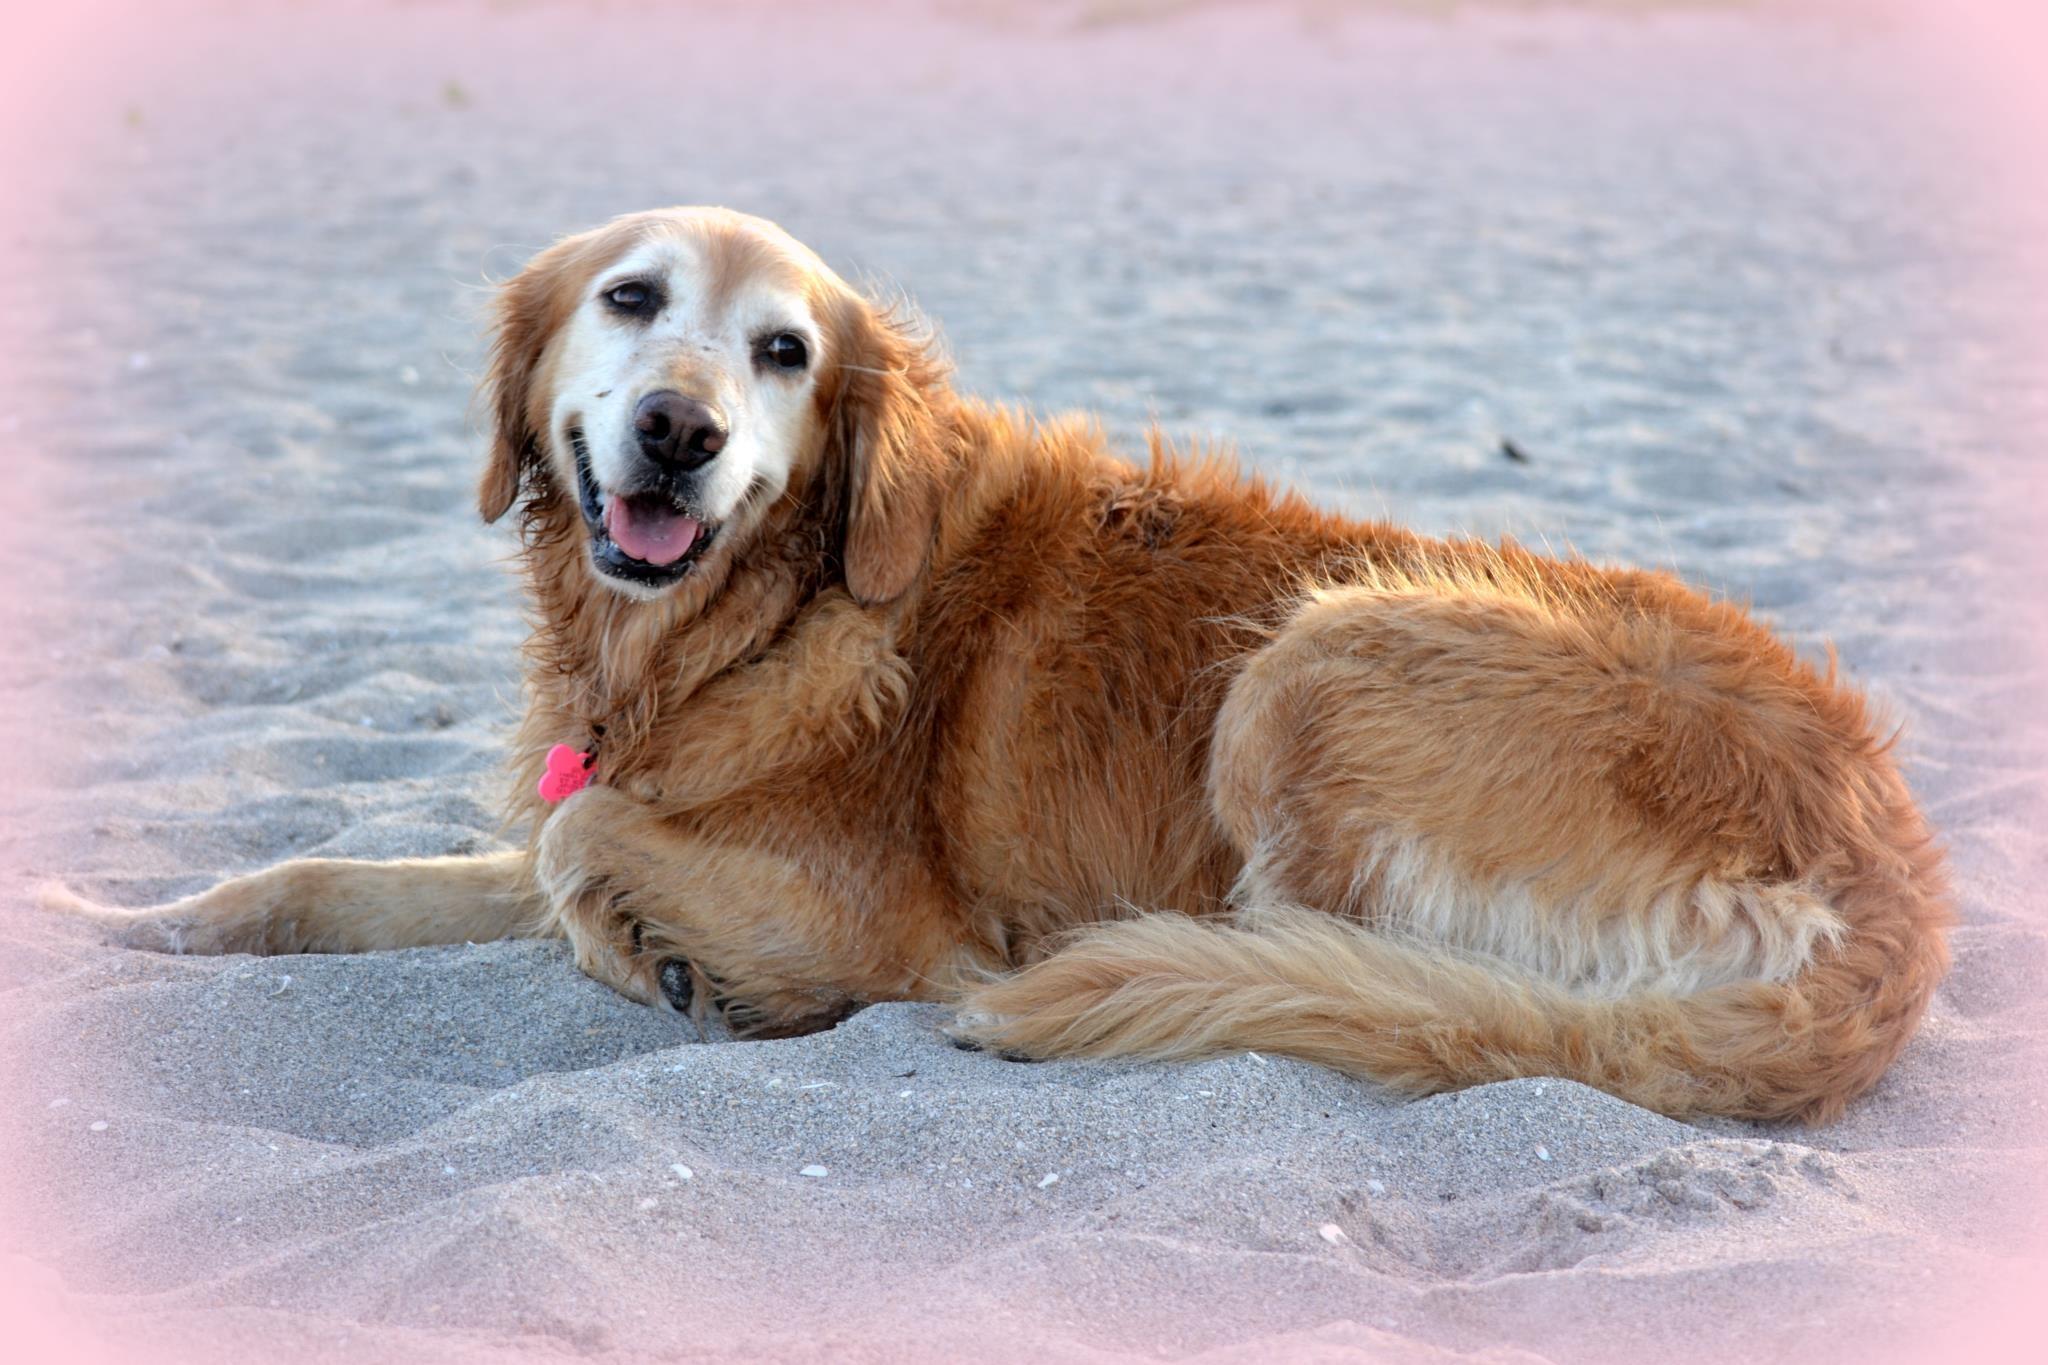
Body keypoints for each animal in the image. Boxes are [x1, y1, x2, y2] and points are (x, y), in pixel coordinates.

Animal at [44, 202, 1949, 1121]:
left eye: (786, 351)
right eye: (628, 300)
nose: (677, 436)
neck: (752, 614)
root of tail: (1888, 888)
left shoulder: (874, 912)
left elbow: (589, 854)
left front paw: (674, 967)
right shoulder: (584, 799)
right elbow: (310, 875)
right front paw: (107, 923)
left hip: (1318, 656)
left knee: (1318, 977)